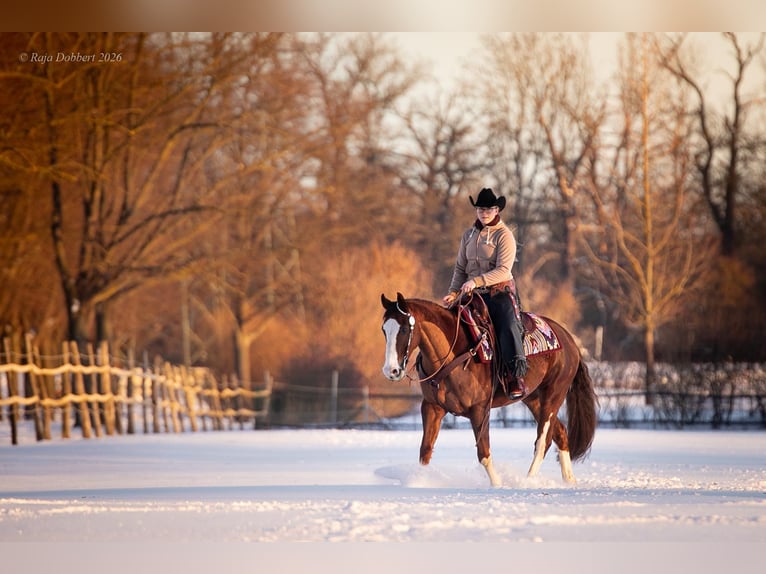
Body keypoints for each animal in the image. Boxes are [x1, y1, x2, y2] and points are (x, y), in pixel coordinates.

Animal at [380, 292, 597, 487]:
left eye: (403, 330)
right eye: (384, 330)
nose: (391, 370)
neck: (453, 356)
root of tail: (569, 340)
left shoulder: (480, 410)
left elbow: (483, 453)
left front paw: (497, 485)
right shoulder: (432, 408)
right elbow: (425, 451)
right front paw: (420, 480)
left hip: (553, 396)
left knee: (543, 441)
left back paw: (527, 480)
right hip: (533, 398)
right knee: (560, 432)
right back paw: (569, 480)